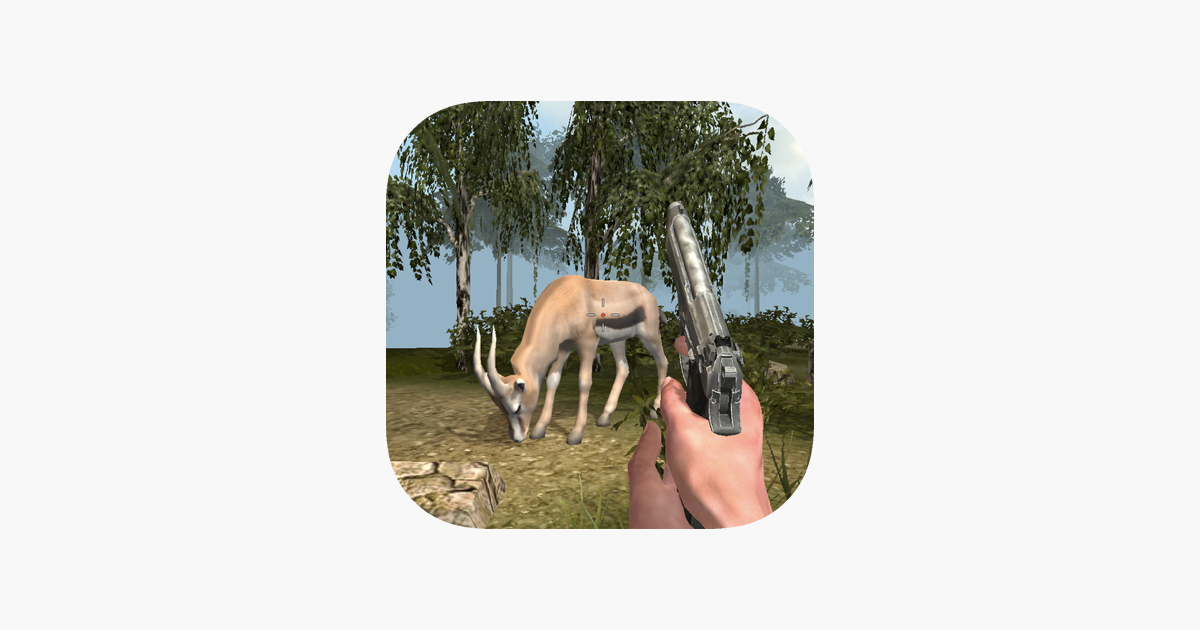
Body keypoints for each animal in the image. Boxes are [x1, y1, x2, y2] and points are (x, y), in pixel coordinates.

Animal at [473, 275, 670, 445]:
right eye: (501, 408)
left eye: (517, 408)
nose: (516, 437)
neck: (566, 298)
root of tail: (650, 297)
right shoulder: (564, 347)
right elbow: (552, 380)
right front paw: (539, 429)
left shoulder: (587, 343)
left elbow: (584, 382)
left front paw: (575, 434)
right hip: (617, 341)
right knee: (623, 368)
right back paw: (604, 417)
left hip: (650, 336)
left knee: (663, 362)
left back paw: (655, 411)